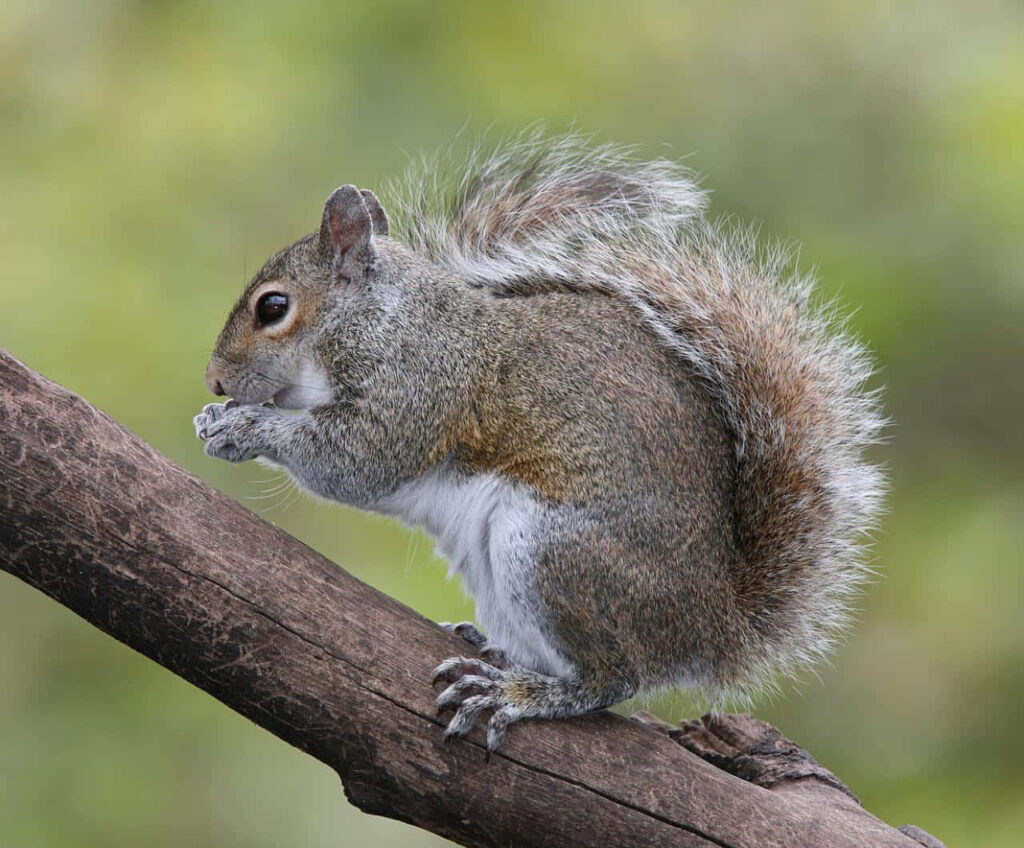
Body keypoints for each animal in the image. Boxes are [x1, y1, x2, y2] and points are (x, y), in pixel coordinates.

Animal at [194, 133, 884, 752]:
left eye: (273, 307)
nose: (215, 380)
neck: (380, 318)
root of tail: (714, 628)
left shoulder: (418, 386)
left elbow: (356, 460)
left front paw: (241, 427)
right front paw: (216, 418)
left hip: (552, 553)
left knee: (612, 679)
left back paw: (519, 692)